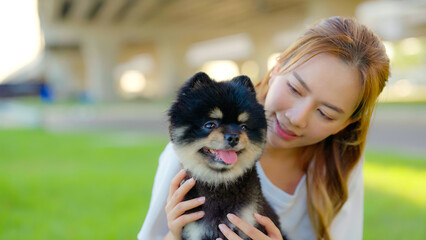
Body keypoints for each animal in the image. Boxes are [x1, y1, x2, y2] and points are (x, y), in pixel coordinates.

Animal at [167, 72, 286, 240]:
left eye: (243, 127)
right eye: (210, 125)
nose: (234, 137)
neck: (220, 184)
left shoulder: (249, 222)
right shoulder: (194, 230)